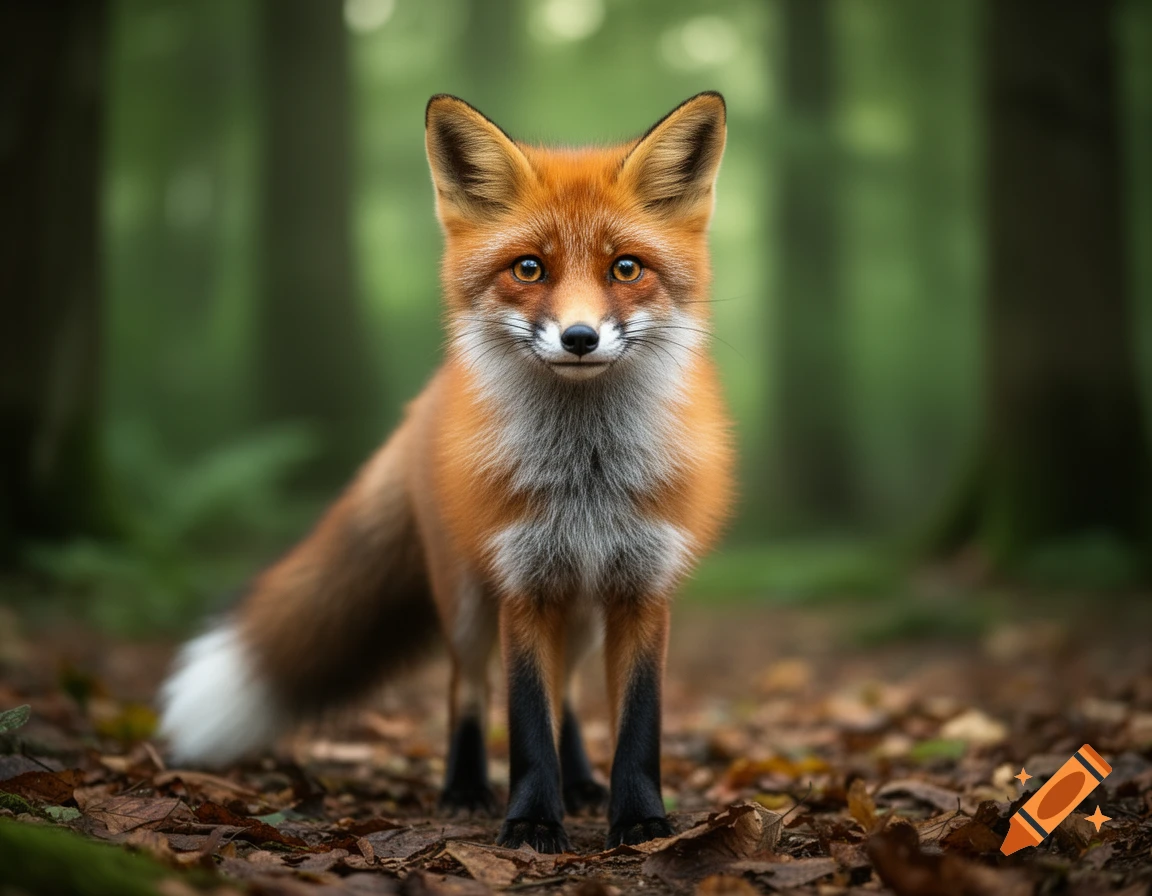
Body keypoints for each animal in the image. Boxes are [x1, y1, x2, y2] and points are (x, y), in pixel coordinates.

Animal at [159, 92, 734, 853]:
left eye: (626, 268)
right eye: (529, 269)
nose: (580, 338)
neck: (586, 480)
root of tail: (429, 398)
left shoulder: (643, 589)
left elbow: (637, 726)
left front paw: (638, 820)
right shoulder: (522, 587)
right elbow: (523, 720)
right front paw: (531, 821)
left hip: (581, 615)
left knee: (569, 694)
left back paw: (582, 783)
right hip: (466, 598)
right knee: (469, 688)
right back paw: (465, 790)